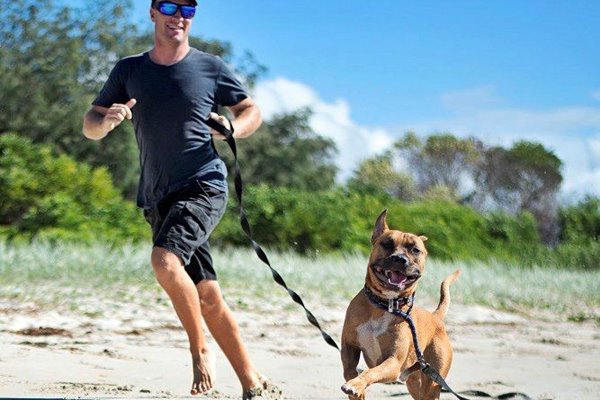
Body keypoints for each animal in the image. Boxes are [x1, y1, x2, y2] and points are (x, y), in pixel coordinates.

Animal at [340, 211, 462, 398]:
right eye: (387, 244)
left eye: (415, 250)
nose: (399, 258)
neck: (385, 304)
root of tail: (435, 317)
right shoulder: (349, 346)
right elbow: (349, 370)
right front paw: (357, 389)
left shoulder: (393, 363)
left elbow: (371, 372)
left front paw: (356, 385)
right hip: (414, 382)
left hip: (432, 383)